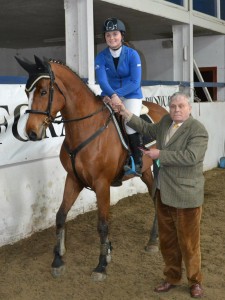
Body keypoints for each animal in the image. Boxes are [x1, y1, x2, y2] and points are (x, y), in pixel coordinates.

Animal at [15, 56, 168, 282]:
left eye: (43, 92)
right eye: (27, 92)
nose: (32, 132)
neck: (85, 128)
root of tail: (165, 111)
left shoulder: (102, 184)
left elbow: (102, 224)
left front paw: (101, 264)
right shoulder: (73, 179)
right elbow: (60, 216)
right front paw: (58, 260)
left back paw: (153, 241)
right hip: (146, 172)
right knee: (155, 197)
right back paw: (153, 239)